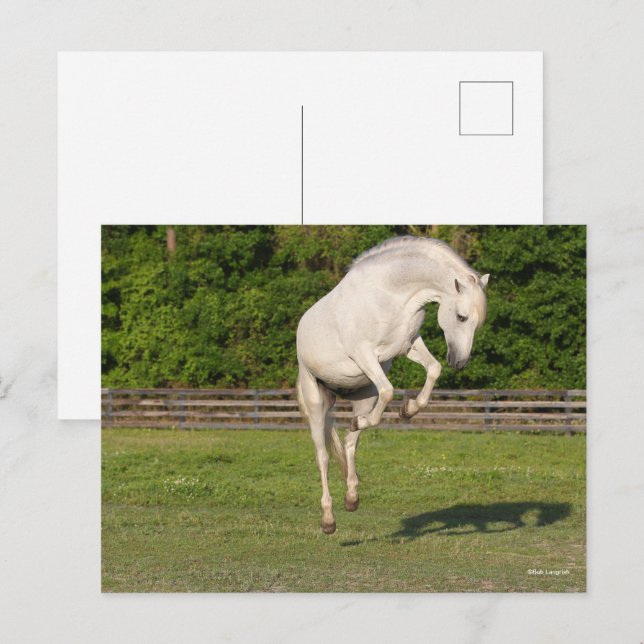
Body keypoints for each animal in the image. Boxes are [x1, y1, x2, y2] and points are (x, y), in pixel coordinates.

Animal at [296, 236, 489, 534]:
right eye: (461, 317)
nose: (459, 362)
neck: (390, 295)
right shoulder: (364, 355)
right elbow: (389, 390)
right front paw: (401, 410)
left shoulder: (406, 345)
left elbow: (433, 369)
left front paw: (408, 410)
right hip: (316, 399)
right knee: (323, 457)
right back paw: (328, 520)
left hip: (363, 395)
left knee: (350, 442)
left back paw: (352, 497)